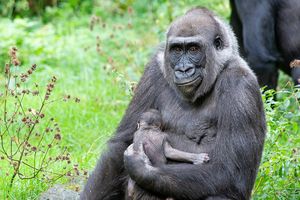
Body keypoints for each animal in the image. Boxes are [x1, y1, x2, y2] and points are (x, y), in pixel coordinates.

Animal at [81, 7, 266, 200]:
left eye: (193, 49)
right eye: (177, 50)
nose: (183, 69)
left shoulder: (240, 86)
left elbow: (228, 171)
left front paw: (141, 167)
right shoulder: (154, 69)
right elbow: (120, 146)